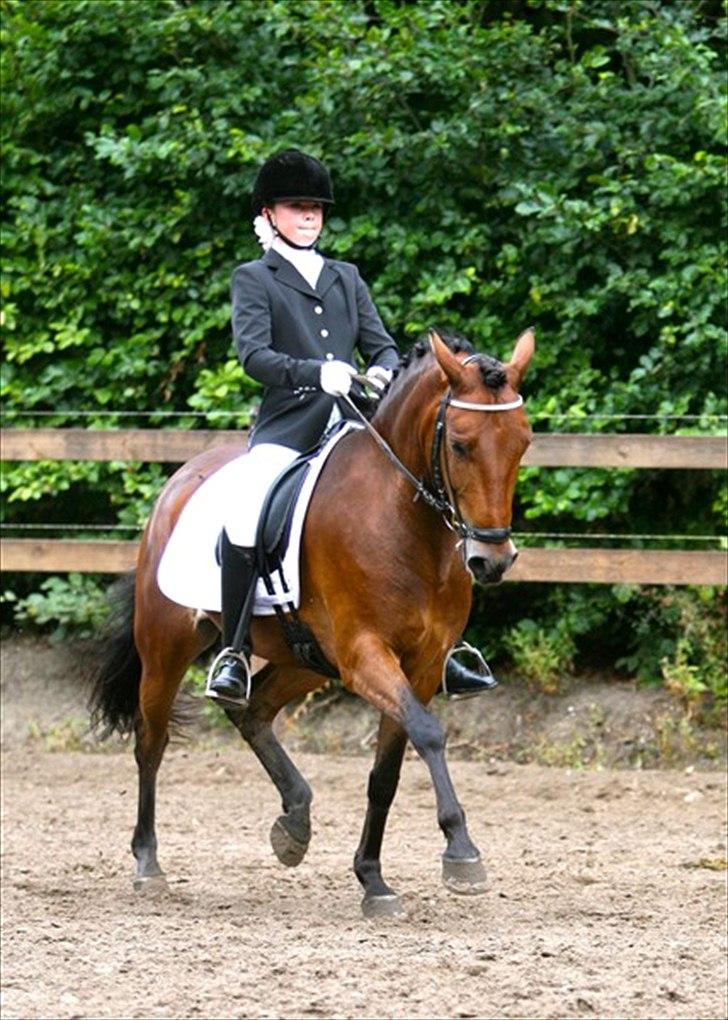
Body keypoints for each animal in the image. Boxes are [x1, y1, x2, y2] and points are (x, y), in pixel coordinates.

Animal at [89, 328, 534, 918]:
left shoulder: (419, 665)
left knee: (252, 710)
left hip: (305, 658)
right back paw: (148, 864)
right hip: (166, 646)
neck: (402, 519)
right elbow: (430, 735)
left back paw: (294, 821)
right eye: (460, 444)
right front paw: (461, 852)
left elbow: (386, 773)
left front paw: (373, 879)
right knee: (150, 742)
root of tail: (181, 479)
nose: (492, 560)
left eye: (522, 442)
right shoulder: (365, 654)